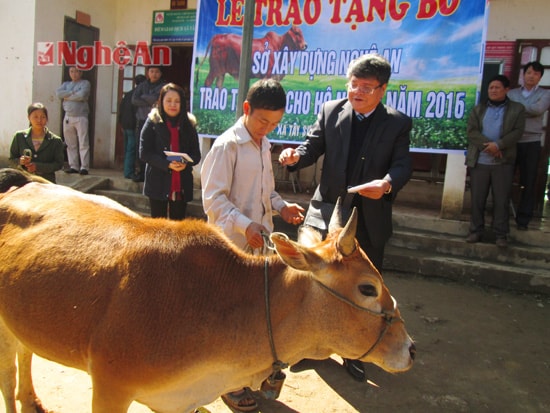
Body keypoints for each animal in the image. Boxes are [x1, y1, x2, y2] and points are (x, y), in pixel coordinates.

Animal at [0, 168, 414, 412]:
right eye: (367, 288)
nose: (410, 348)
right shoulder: (109, 388)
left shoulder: (181, 401)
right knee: (9, 374)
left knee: (25, 352)